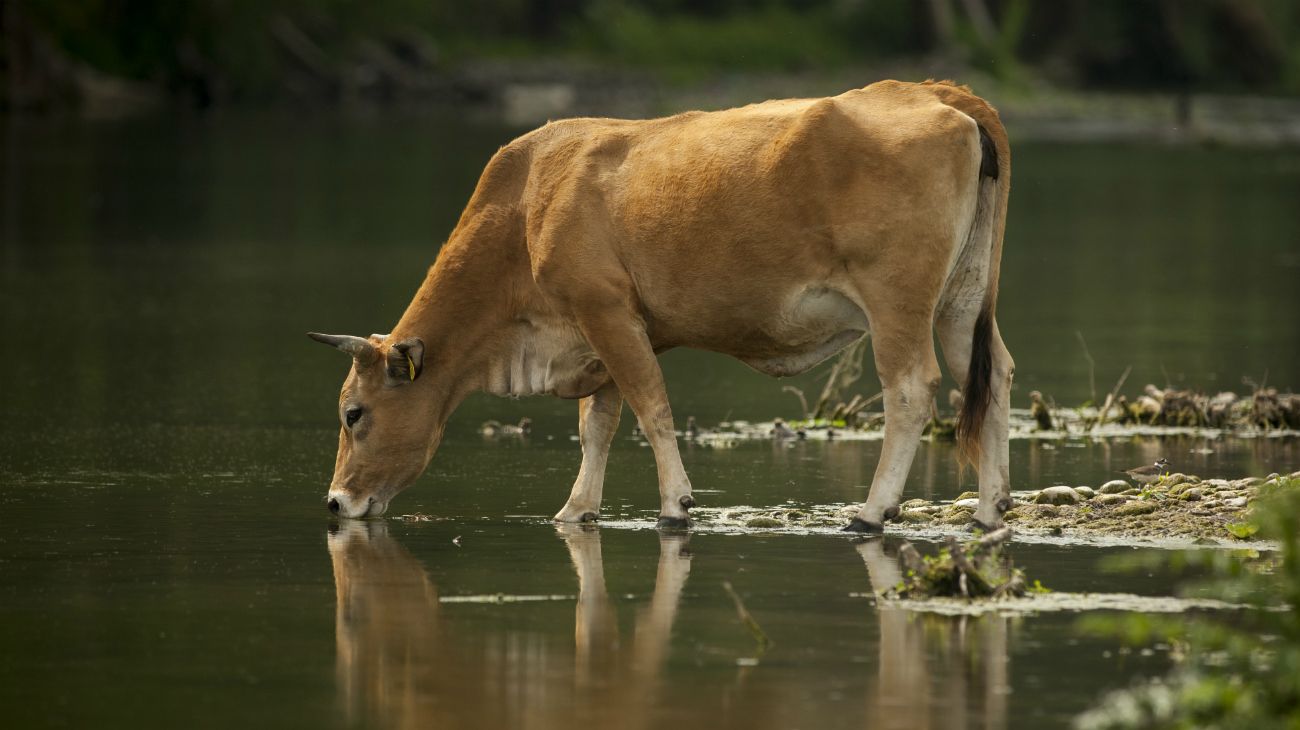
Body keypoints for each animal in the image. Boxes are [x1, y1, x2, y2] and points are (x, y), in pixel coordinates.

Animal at [306, 79, 1013, 532]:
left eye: (352, 413)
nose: (335, 503)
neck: (528, 205)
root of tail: (936, 91)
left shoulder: (606, 310)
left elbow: (650, 408)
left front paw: (676, 505)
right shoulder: (600, 333)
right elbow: (599, 424)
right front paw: (577, 509)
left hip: (898, 299)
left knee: (912, 388)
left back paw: (871, 513)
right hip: (964, 298)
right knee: (992, 375)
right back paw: (989, 509)